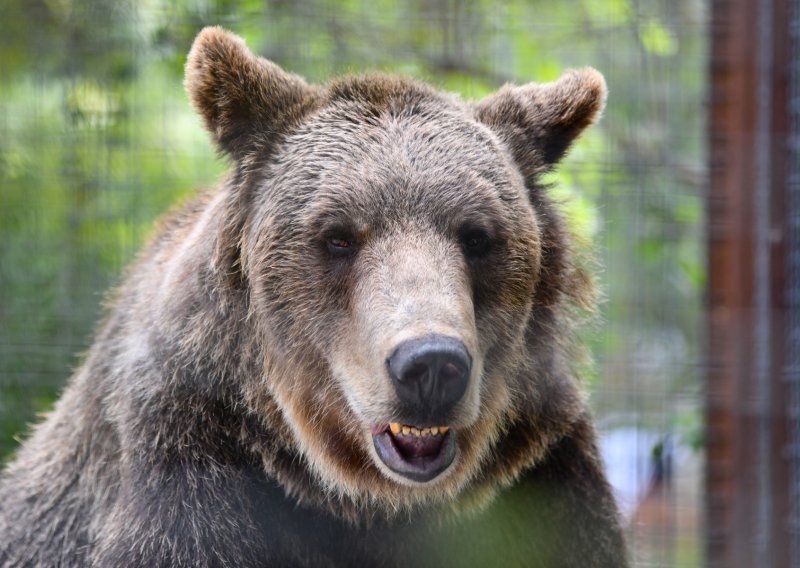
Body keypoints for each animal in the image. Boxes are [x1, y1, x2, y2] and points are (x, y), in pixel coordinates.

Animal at [0, 26, 624, 568]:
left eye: (476, 235)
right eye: (338, 236)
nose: (431, 365)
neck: (358, 497)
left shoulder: (540, 481)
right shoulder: (191, 473)